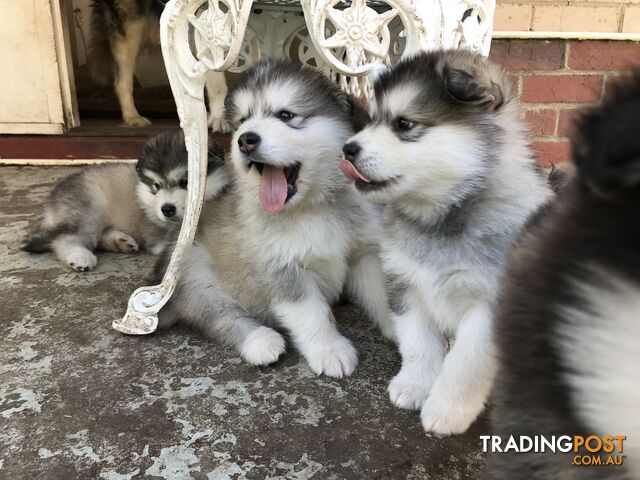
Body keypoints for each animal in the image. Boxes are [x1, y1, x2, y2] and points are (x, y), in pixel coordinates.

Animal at [21, 131, 228, 272]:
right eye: (156, 185)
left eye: (185, 182)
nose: (167, 209)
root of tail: (52, 197)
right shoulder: (156, 235)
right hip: (89, 208)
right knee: (64, 238)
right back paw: (80, 257)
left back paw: (121, 242)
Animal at [156, 59, 396, 376]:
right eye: (243, 121)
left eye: (285, 115)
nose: (245, 140)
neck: (314, 208)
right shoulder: (280, 267)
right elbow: (311, 313)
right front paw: (329, 350)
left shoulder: (364, 253)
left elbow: (383, 295)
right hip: (197, 271)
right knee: (218, 316)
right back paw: (260, 341)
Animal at [340, 49, 556, 436]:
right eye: (373, 120)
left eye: (404, 124)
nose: (348, 149)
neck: (441, 216)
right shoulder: (404, 282)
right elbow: (418, 342)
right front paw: (414, 385)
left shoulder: (489, 307)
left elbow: (465, 362)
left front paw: (446, 410)